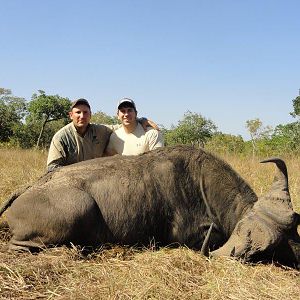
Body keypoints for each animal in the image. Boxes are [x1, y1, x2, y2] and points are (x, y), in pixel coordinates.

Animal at [1, 144, 300, 268]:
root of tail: (26, 189)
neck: (202, 184)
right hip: (77, 207)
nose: (296, 258)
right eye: (271, 250)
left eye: (293, 231)